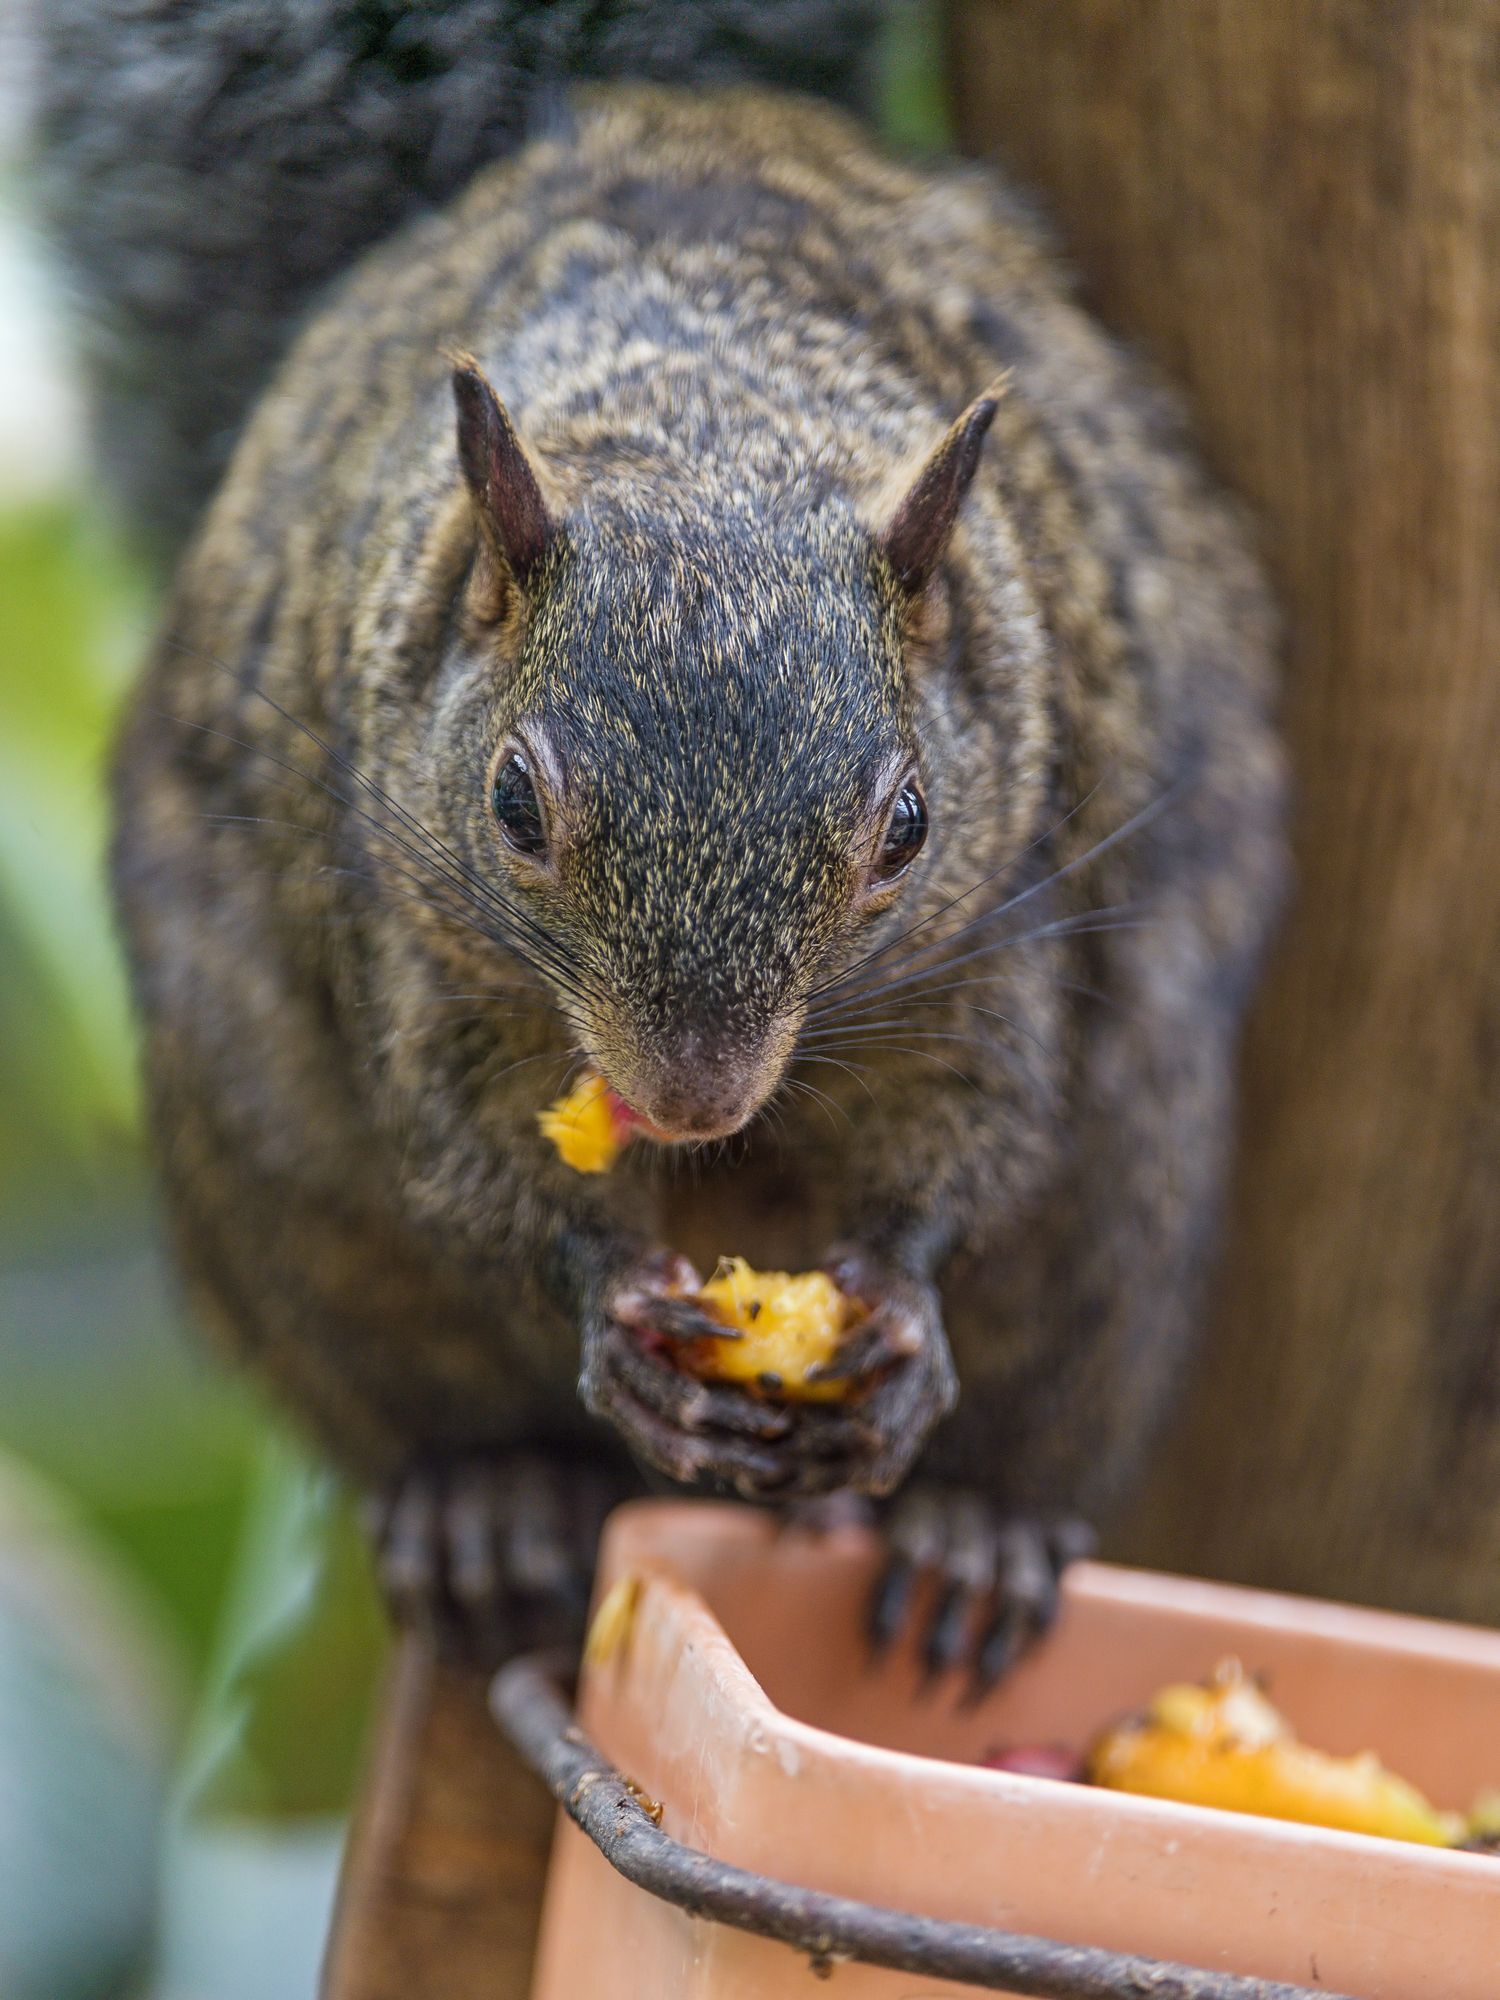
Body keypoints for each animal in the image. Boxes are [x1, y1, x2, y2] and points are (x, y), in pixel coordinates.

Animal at [32, 7, 1280, 1680]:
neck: (715, 426)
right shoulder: (423, 951)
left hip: (1119, 1230)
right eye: (513, 805)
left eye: (909, 826)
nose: (692, 1099)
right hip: (302, 1234)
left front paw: (895, 1308)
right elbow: (475, 1147)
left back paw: (975, 1536)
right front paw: (615, 1309)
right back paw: (485, 1505)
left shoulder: (997, 928)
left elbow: (970, 1123)